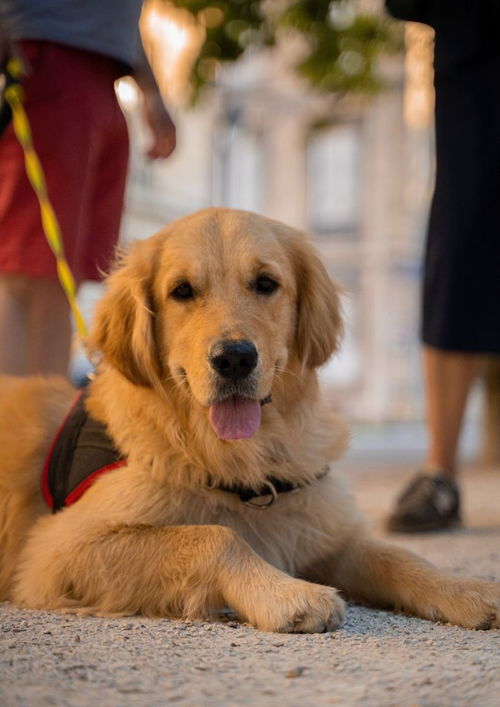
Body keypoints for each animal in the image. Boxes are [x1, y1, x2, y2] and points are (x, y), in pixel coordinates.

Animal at [0, 209, 500, 632]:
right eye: (182, 291)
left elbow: (398, 556)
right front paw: (286, 594)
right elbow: (216, 535)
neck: (244, 460)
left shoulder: (322, 528)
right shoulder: (57, 549)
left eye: (265, 283)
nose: (234, 358)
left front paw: (466, 589)